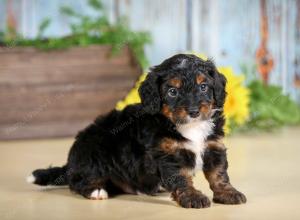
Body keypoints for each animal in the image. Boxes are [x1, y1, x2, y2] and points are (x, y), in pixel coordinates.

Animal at [27, 53, 246, 208]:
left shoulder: (213, 147)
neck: (188, 126)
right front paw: (193, 197)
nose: (193, 111)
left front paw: (228, 193)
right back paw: (96, 190)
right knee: (78, 182)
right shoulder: (168, 155)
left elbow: (219, 174)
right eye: (172, 92)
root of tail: (71, 162)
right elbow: (181, 178)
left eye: (203, 86)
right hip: (95, 153)